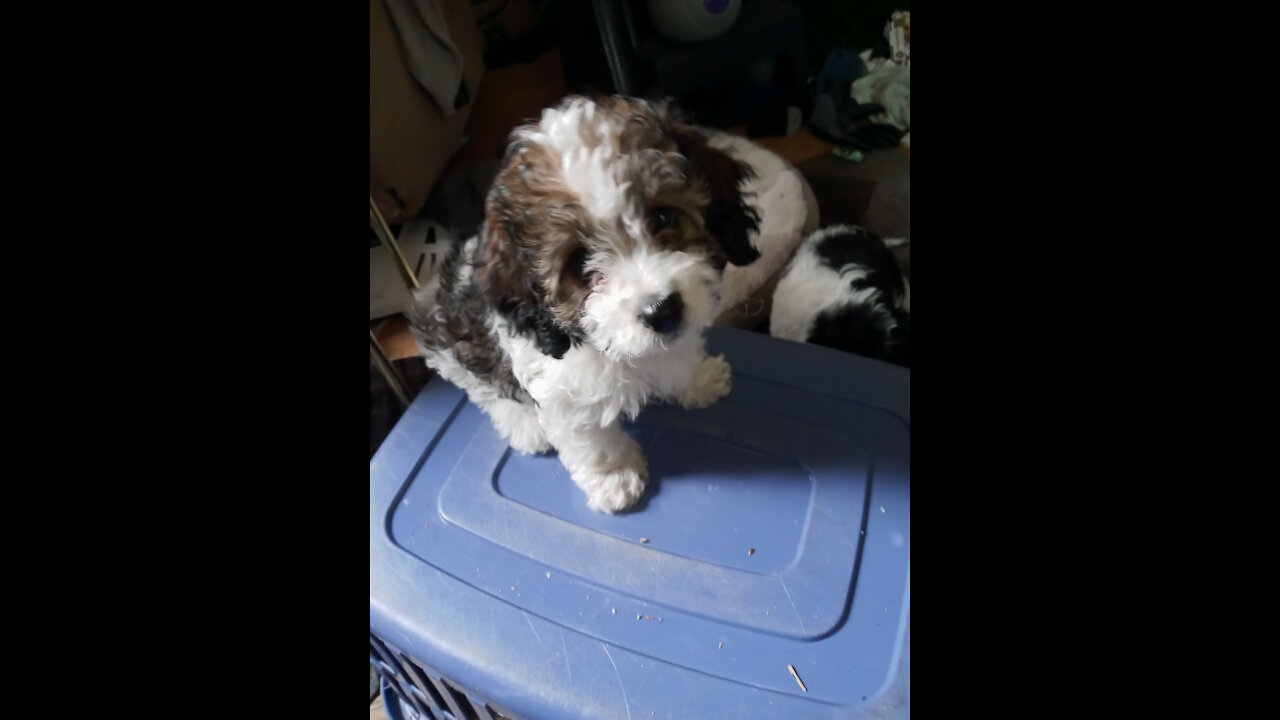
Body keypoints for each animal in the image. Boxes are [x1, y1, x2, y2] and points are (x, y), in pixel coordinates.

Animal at [407, 95, 757, 509]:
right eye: (578, 261)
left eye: (663, 216)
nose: (663, 312)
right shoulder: (562, 390)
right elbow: (590, 438)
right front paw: (614, 477)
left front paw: (698, 380)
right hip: (451, 341)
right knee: (481, 384)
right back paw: (524, 425)